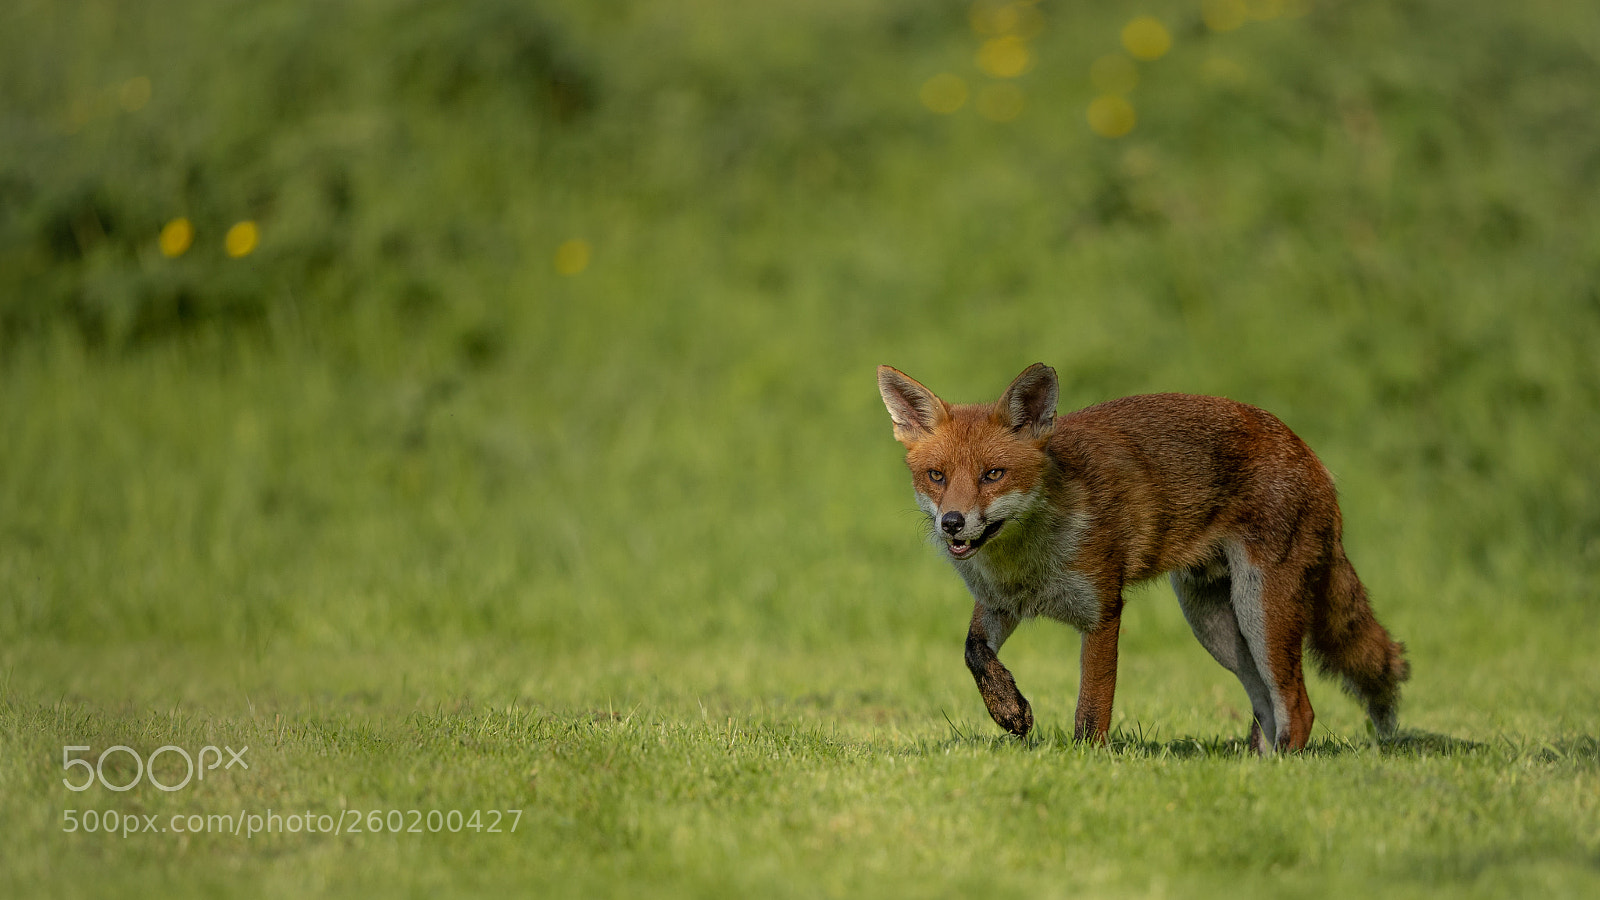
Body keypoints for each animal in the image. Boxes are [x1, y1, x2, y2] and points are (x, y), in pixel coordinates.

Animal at [877, 362, 1410, 753]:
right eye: (936, 476)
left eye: (993, 474)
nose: (952, 523)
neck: (1026, 560)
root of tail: (1312, 456)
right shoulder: (999, 604)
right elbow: (974, 654)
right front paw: (1009, 709)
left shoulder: (1102, 610)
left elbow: (1093, 703)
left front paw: (1083, 761)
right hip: (1219, 629)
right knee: (1267, 709)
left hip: (1261, 612)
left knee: (1298, 709)